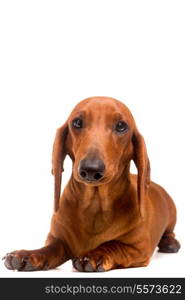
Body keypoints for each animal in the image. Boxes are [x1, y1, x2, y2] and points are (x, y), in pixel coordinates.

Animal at [3, 96, 180, 272]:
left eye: (121, 126)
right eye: (77, 122)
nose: (90, 169)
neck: (95, 204)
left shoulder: (138, 248)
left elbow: (112, 245)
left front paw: (94, 255)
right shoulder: (57, 240)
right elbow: (49, 249)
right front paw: (27, 255)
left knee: (169, 233)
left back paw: (170, 243)